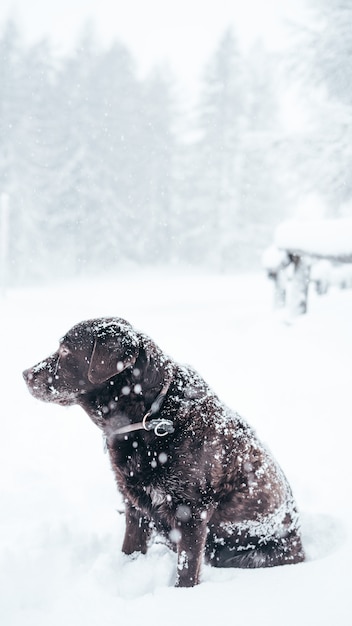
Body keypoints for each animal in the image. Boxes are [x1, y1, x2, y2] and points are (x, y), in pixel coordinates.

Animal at [22, 316, 306, 584]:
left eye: (65, 351)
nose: (25, 374)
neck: (152, 415)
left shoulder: (191, 513)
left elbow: (187, 570)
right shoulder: (134, 503)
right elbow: (130, 548)